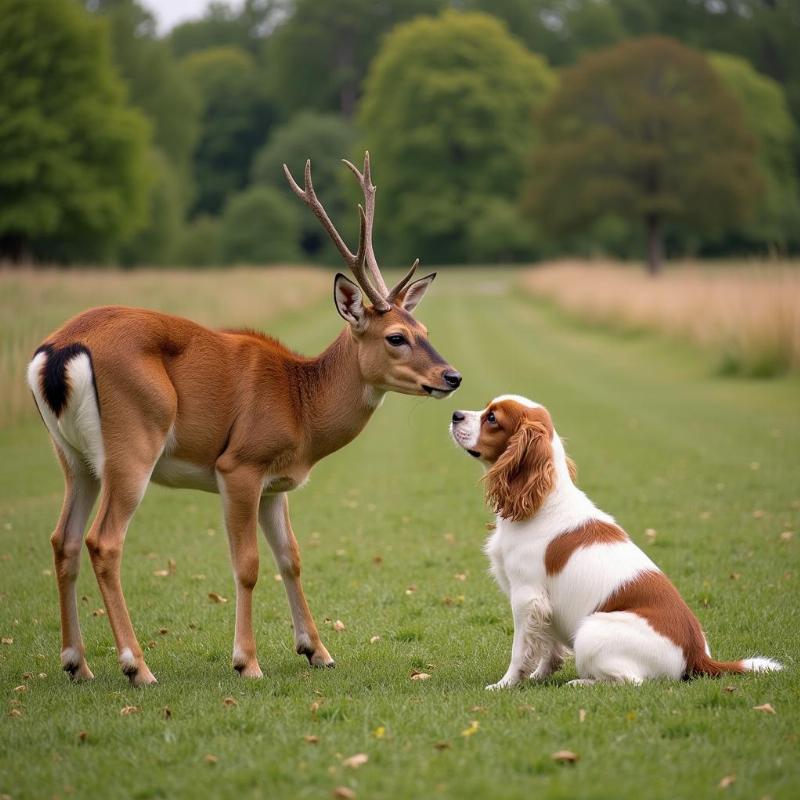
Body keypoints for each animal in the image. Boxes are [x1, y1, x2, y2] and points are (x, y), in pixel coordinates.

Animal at [28, 153, 460, 684]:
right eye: (396, 336)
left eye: (425, 329)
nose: (452, 376)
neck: (301, 404)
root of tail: (58, 351)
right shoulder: (240, 465)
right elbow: (248, 564)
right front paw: (247, 662)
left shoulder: (276, 484)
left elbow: (291, 557)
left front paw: (317, 651)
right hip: (134, 441)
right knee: (103, 541)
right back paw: (137, 667)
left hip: (74, 458)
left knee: (63, 540)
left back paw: (78, 664)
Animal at [450, 394, 780, 688]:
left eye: (492, 418)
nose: (455, 414)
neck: (543, 502)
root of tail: (697, 654)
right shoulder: (543, 607)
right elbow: (548, 646)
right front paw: (540, 676)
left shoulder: (526, 596)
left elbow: (521, 651)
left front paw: (506, 684)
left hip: (591, 631)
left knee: (632, 682)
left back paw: (582, 683)